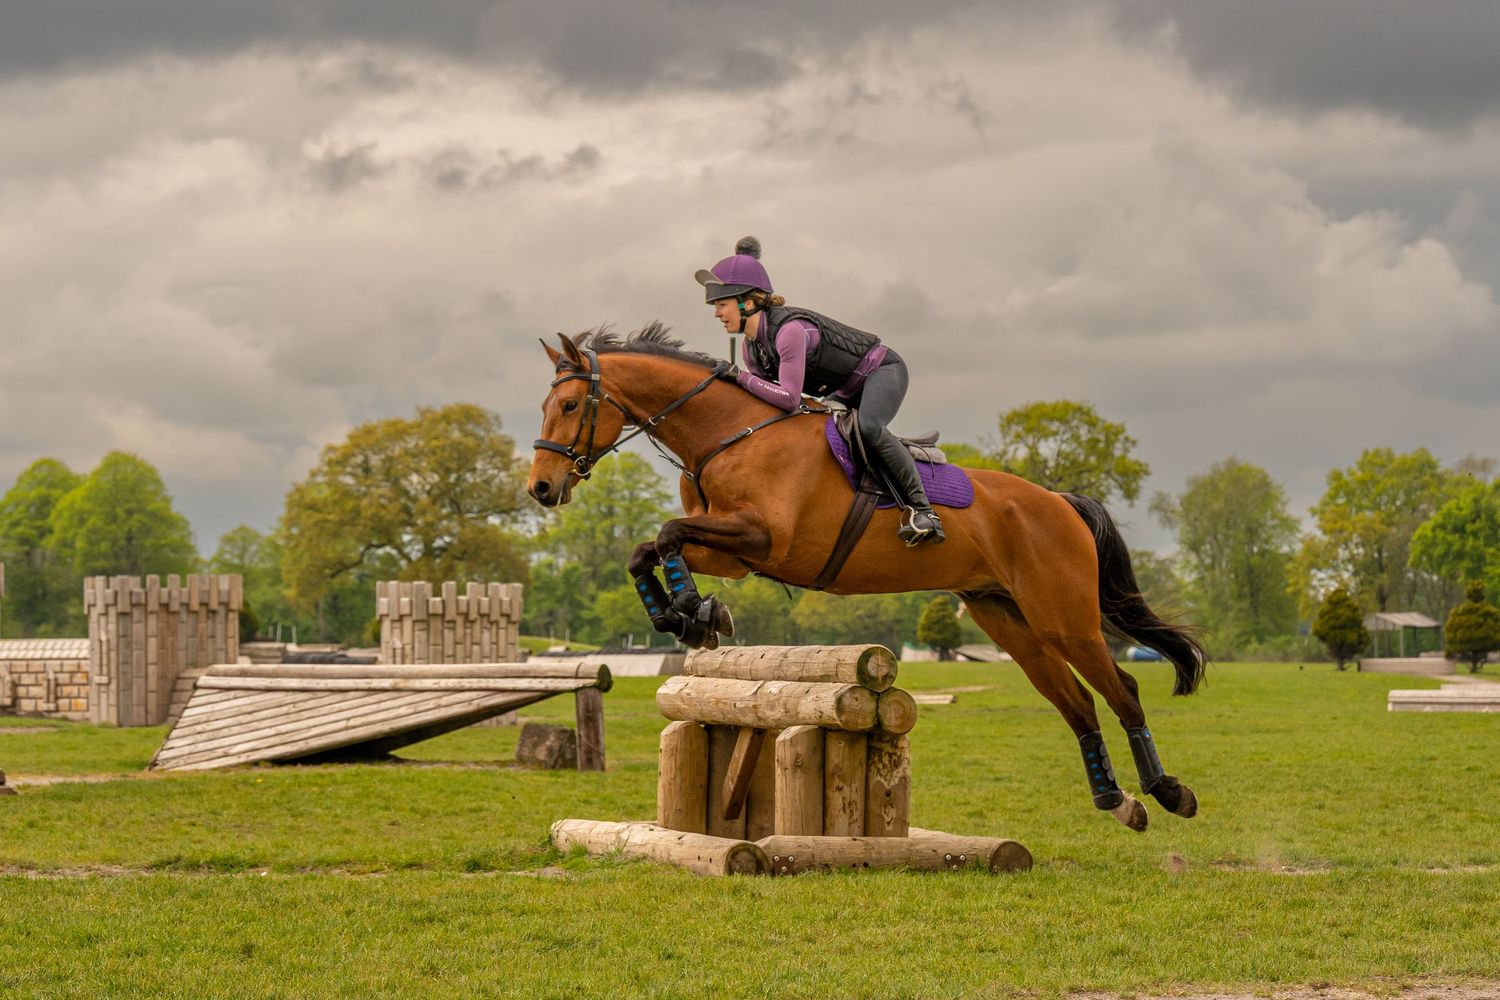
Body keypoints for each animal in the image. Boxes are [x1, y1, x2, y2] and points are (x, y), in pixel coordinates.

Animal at [527, 324, 1206, 831]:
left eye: (569, 405)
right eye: (546, 406)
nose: (541, 488)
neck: (729, 434)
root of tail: (1060, 503)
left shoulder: (763, 539)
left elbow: (666, 535)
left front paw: (697, 615)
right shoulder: (735, 552)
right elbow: (648, 549)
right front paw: (687, 616)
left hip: (1063, 618)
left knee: (1122, 690)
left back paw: (1169, 791)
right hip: (1008, 620)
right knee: (1075, 702)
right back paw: (1118, 803)